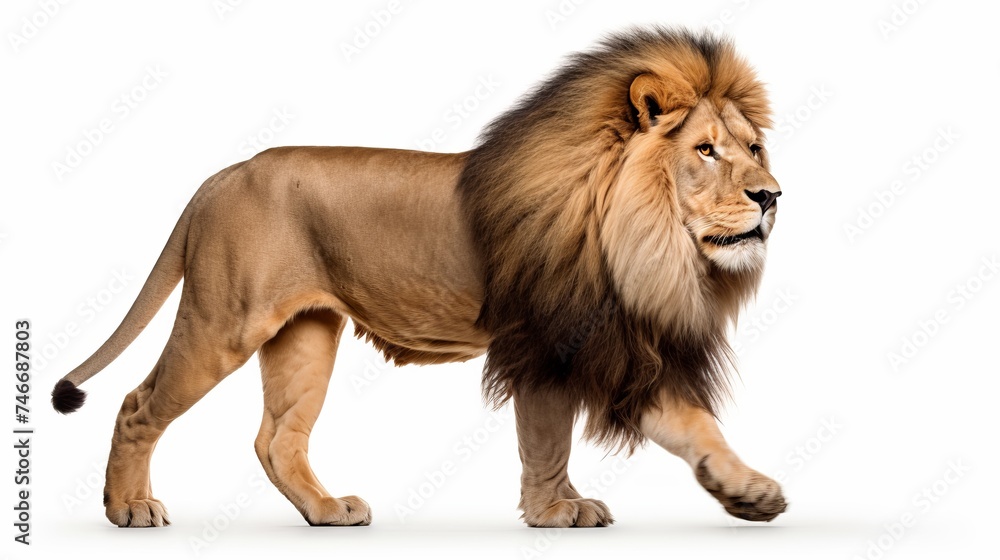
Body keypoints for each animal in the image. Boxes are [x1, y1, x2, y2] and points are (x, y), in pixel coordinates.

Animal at [51, 27, 786, 528]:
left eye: (754, 148)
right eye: (705, 150)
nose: (772, 195)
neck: (647, 246)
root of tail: (221, 176)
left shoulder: (618, 346)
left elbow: (696, 426)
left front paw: (748, 490)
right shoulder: (546, 344)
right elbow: (547, 437)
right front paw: (555, 512)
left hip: (305, 334)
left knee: (277, 438)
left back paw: (326, 510)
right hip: (223, 321)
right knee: (138, 404)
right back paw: (128, 507)